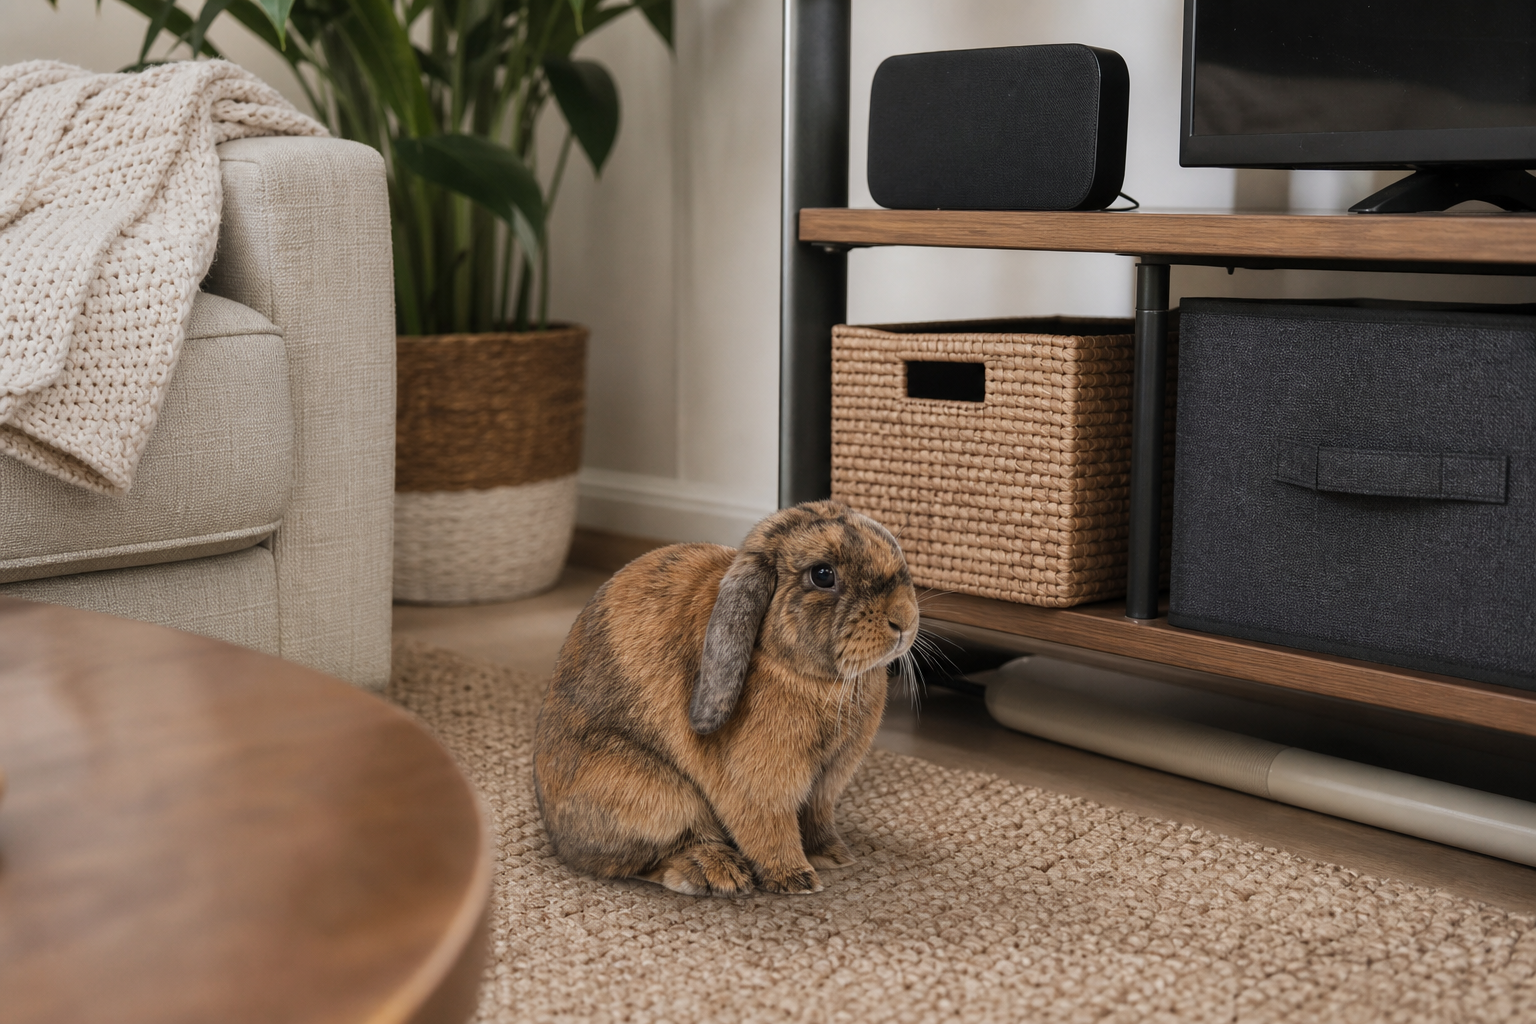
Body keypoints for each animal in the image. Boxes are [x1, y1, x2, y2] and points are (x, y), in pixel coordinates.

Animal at [533, 500, 919, 897]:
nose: (903, 621)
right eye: (823, 575)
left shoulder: (827, 782)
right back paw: (715, 873)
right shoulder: (760, 784)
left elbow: (817, 816)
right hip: (655, 796)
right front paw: (797, 880)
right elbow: (768, 828)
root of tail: (558, 837)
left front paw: (833, 856)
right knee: (642, 858)